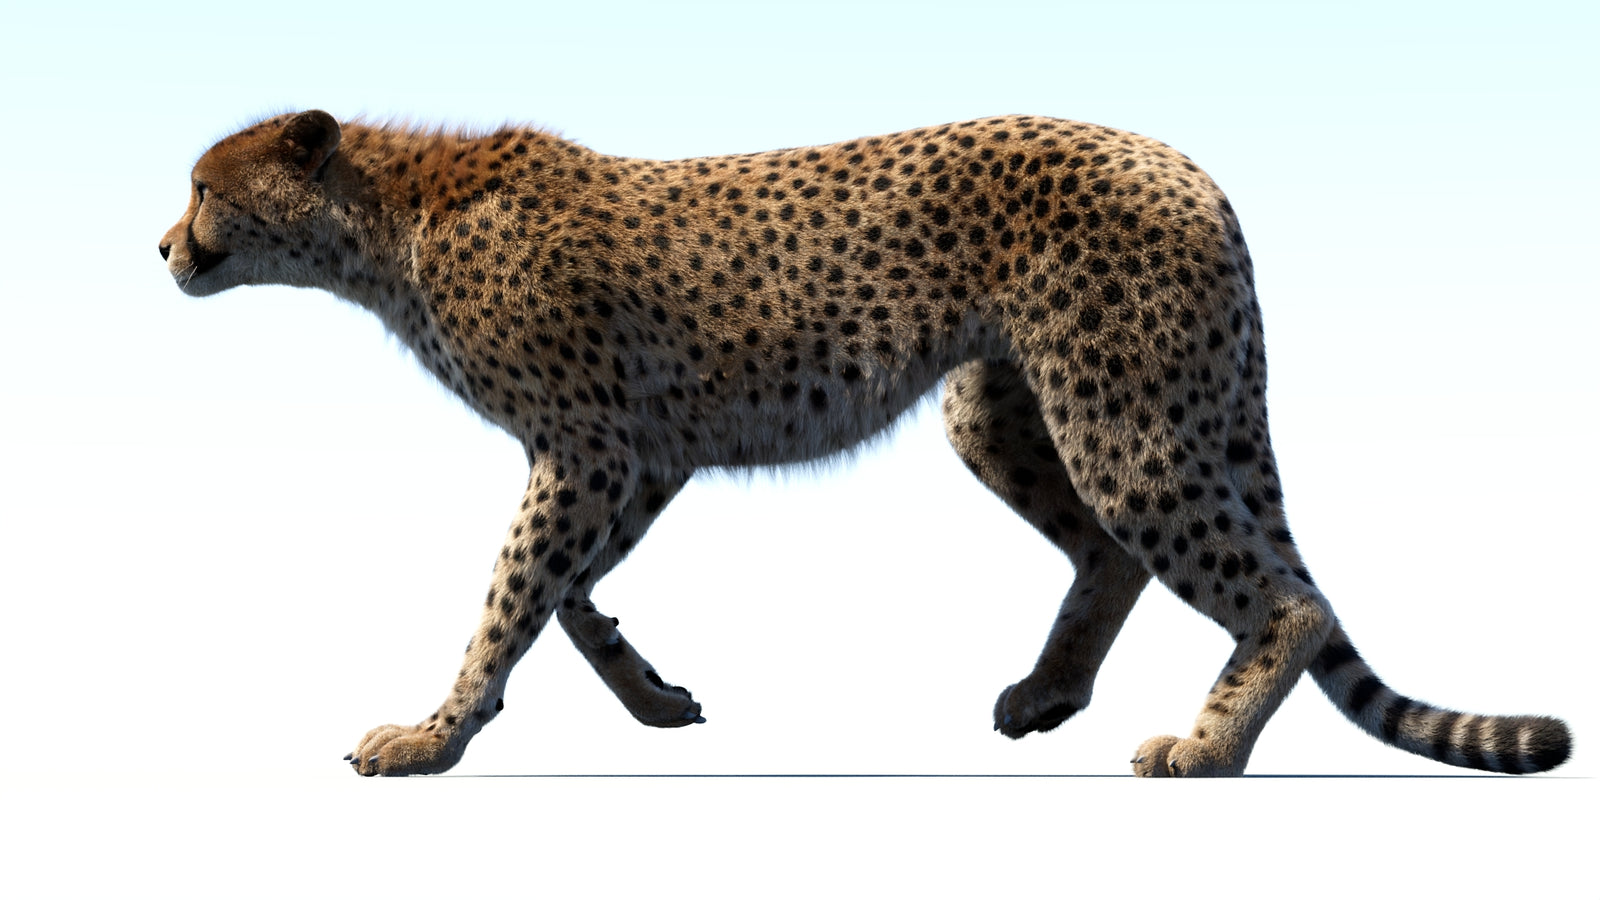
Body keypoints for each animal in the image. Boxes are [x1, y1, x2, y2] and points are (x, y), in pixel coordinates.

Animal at [160, 110, 1571, 776]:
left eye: (205, 188)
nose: (165, 244)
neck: (381, 222)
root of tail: (1182, 164)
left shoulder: (588, 448)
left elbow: (511, 594)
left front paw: (431, 735)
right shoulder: (641, 451)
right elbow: (563, 594)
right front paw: (649, 692)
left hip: (1123, 412)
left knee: (1281, 594)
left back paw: (1208, 750)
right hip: (997, 410)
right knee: (1110, 555)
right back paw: (1049, 692)